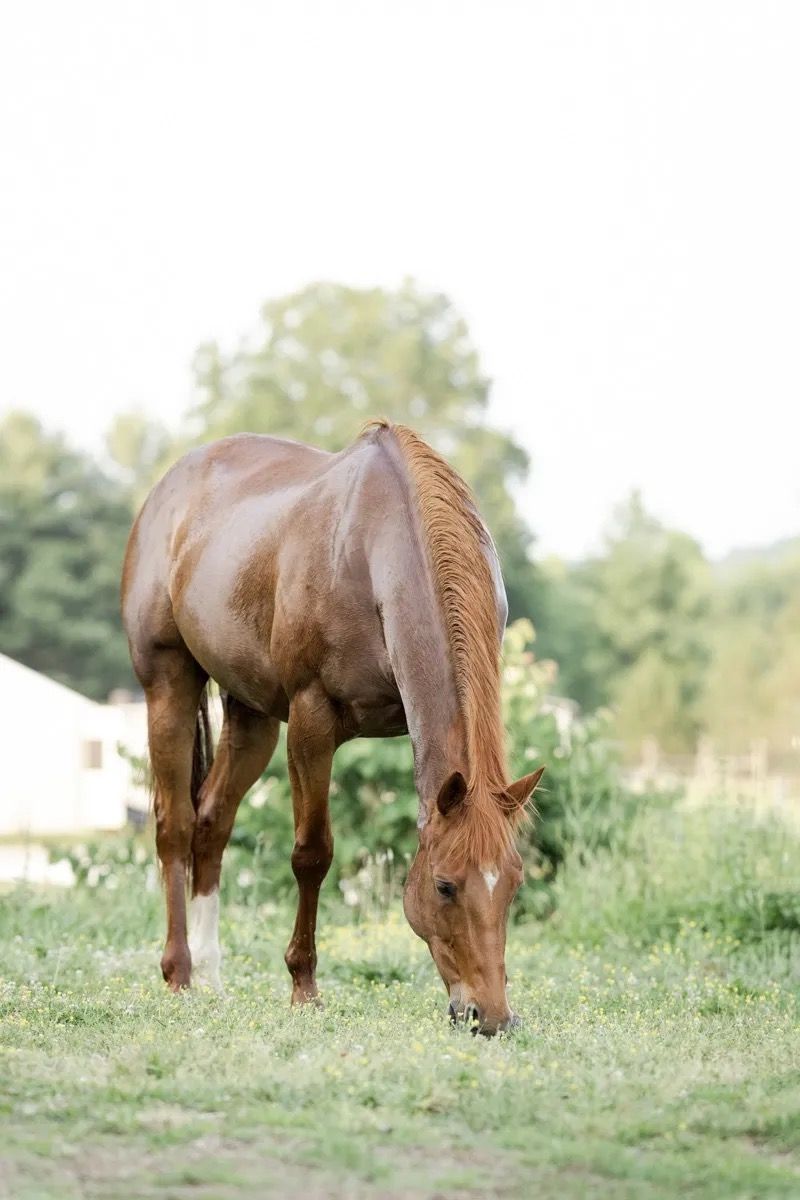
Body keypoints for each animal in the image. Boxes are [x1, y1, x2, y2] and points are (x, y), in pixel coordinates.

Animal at [121, 420, 543, 1035]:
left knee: (211, 822)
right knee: (174, 825)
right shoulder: (311, 721)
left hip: (251, 715)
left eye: (513, 884)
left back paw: (212, 977)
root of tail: (167, 490)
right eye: (444, 885)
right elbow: (312, 854)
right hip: (168, 686)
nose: (488, 1018)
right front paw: (304, 987)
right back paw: (179, 973)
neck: (373, 553)